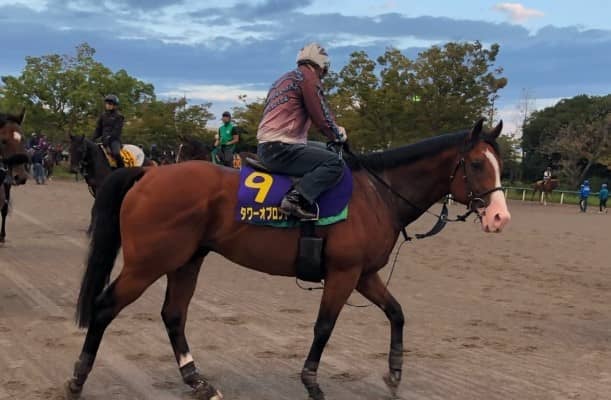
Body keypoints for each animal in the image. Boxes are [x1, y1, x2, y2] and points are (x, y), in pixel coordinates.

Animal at [65, 119, 511, 400]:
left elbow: (396, 312)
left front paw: (396, 370)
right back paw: (78, 378)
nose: (499, 217)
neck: (376, 193)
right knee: (104, 307)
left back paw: (197, 381)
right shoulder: (344, 274)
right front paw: (311, 380)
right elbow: (324, 327)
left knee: (174, 315)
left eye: (498, 164)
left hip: (186, 261)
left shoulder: (364, 275)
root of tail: (151, 174)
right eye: (475, 164)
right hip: (147, 265)